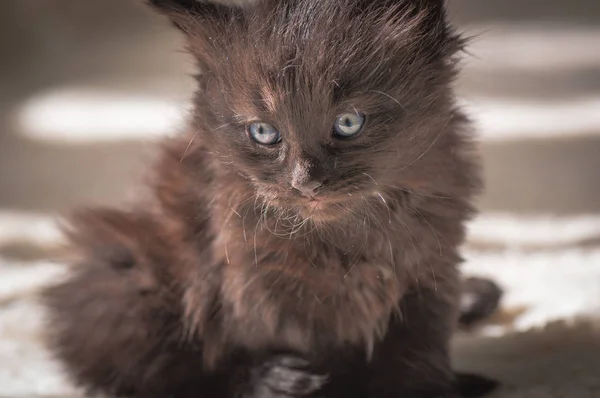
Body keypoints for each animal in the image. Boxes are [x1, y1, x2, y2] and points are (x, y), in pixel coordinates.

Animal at [43, 0, 496, 396]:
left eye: (349, 123)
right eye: (263, 132)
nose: (304, 183)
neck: (347, 239)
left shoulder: (429, 278)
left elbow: (416, 357)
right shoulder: (261, 288)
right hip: (131, 281)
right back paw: (272, 381)